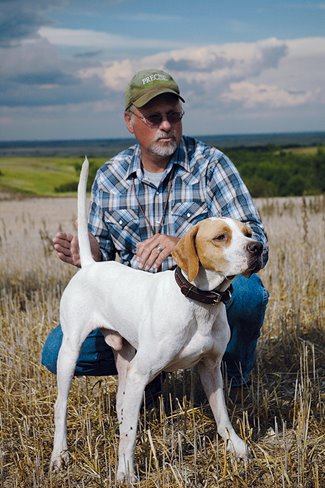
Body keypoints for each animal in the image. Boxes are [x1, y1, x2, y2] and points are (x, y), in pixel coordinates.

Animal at [51, 157, 264, 480]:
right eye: (220, 237)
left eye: (249, 233)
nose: (258, 248)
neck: (197, 303)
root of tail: (89, 265)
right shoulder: (142, 372)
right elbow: (130, 434)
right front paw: (126, 472)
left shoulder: (210, 367)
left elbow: (222, 414)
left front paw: (236, 447)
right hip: (70, 354)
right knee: (61, 406)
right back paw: (59, 454)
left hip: (125, 360)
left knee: (121, 404)